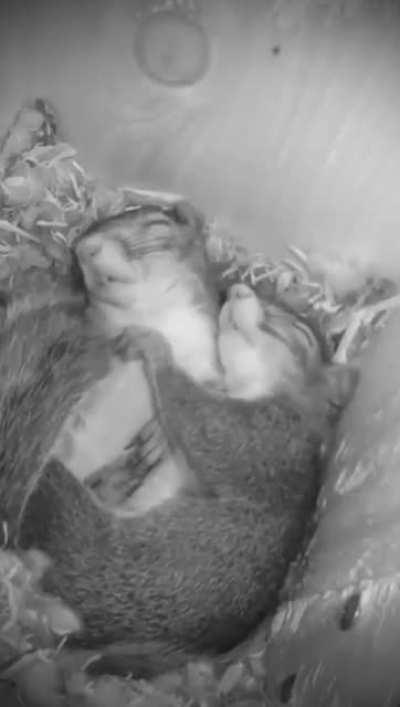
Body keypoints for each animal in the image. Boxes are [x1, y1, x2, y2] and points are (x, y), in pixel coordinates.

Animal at [0, 282, 358, 679]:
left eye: (299, 334)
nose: (236, 288)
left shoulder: (266, 439)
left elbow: (202, 423)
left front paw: (157, 349)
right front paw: (157, 433)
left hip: (66, 511)